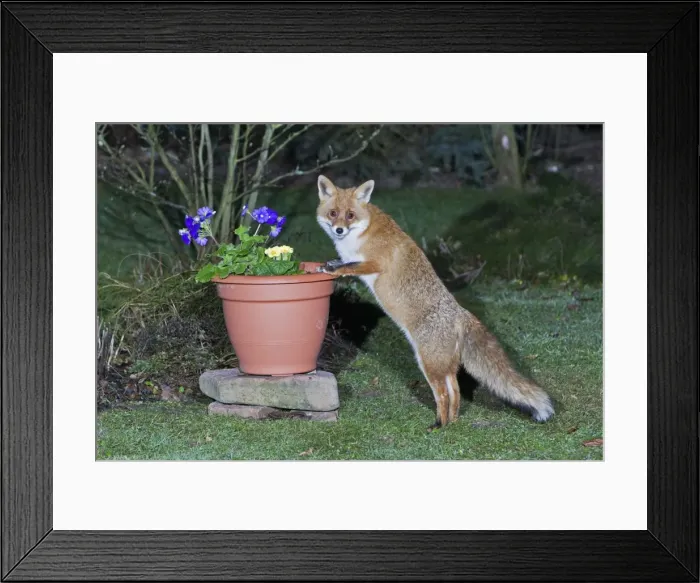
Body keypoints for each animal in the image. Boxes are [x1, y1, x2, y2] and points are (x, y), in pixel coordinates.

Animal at [314, 174, 554, 431]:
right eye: (333, 213)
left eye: (350, 215)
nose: (339, 229)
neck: (362, 231)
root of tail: (462, 313)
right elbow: (342, 262)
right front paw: (326, 265)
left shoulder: (375, 263)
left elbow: (347, 267)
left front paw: (332, 269)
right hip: (444, 365)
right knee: (456, 391)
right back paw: (453, 423)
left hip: (428, 364)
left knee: (443, 395)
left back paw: (439, 424)